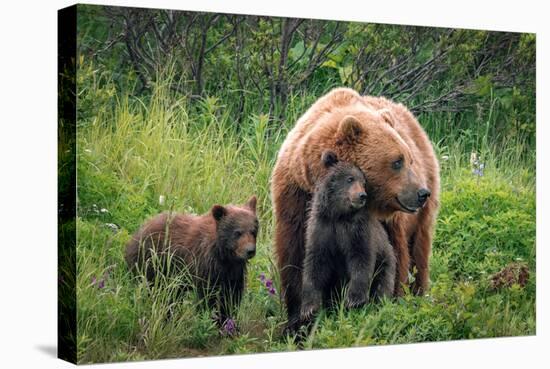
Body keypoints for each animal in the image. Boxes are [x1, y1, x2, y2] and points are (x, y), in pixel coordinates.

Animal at [126, 197, 260, 324]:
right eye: (237, 232)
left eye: (253, 231)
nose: (250, 250)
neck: (223, 255)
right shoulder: (205, 266)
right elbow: (209, 296)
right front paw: (212, 319)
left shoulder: (233, 271)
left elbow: (232, 297)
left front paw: (228, 320)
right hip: (151, 262)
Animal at [302, 150, 396, 322]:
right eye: (350, 179)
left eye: (364, 182)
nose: (362, 195)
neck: (339, 215)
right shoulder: (322, 228)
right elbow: (315, 263)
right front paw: (309, 308)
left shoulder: (357, 230)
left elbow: (361, 258)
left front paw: (354, 300)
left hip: (386, 261)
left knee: (382, 284)